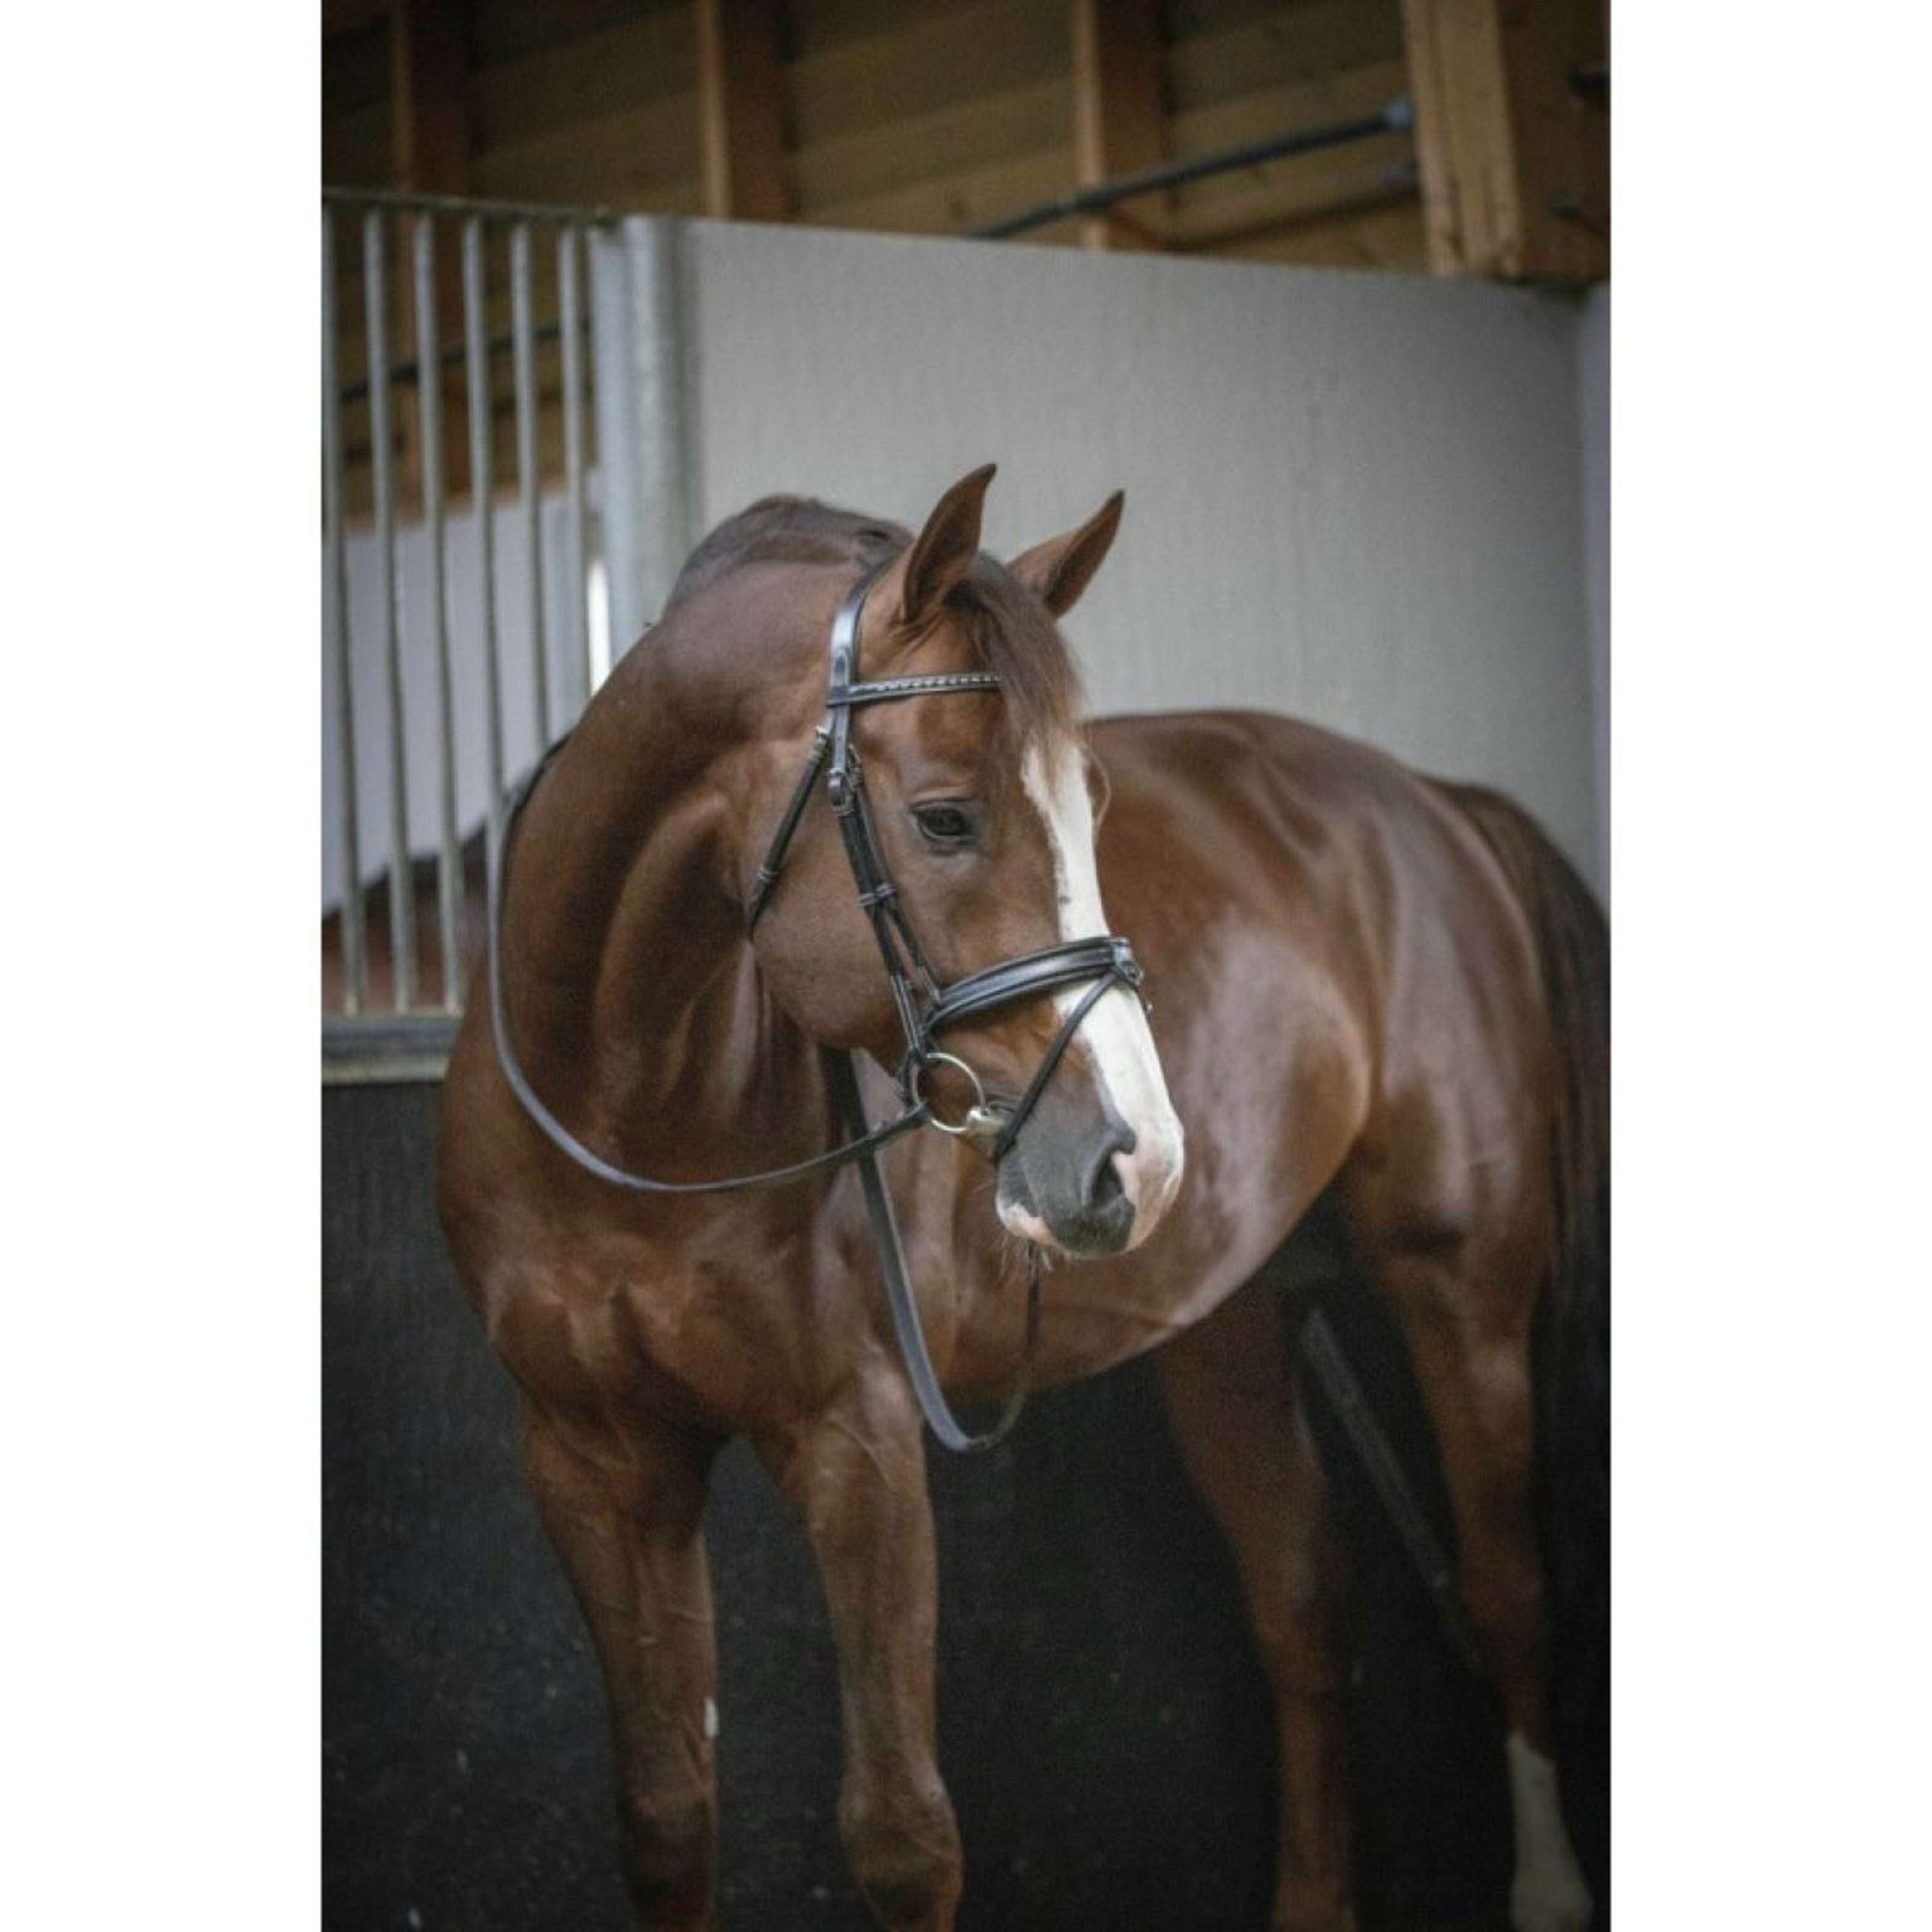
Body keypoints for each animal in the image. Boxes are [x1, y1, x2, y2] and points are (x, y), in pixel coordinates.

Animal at [435, 466, 1607, 1932]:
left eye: (1092, 806)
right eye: (945, 816)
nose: (1137, 1160)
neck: (625, 1109)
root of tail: (1436, 803)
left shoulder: (861, 1441)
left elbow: (900, 1834)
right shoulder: (595, 1460)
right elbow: (664, 1815)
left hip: (1460, 1289)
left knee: (1509, 1596)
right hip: (1230, 1322)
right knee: (1302, 1605)